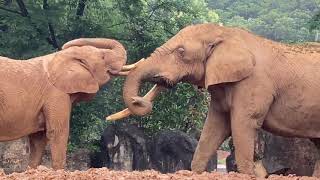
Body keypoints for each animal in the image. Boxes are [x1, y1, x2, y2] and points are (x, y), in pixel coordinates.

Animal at [0, 37, 130, 169]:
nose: (63, 45)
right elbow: (58, 131)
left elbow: (38, 138)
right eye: (103, 57)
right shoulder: (56, 94)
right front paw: (59, 170)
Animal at [108, 22, 320, 177]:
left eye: (181, 52)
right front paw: (196, 172)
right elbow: (214, 126)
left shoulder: (253, 83)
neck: (225, 33)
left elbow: (242, 123)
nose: (139, 99)